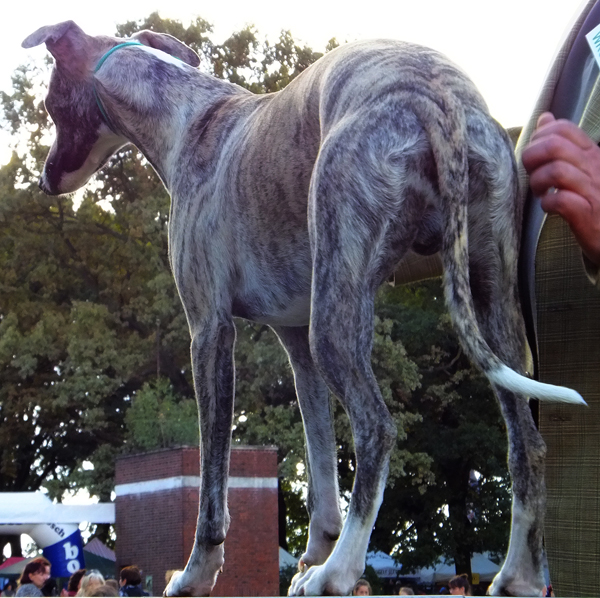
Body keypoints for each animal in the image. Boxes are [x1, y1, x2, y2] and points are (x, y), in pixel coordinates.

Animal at [22, 21, 580, 596]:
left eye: (49, 104)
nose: (45, 179)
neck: (189, 118)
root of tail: (433, 93)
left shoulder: (210, 331)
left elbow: (213, 482)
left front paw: (200, 572)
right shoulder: (296, 340)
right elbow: (320, 460)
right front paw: (314, 551)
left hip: (338, 315)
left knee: (378, 428)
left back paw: (338, 573)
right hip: (489, 306)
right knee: (527, 443)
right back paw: (517, 575)